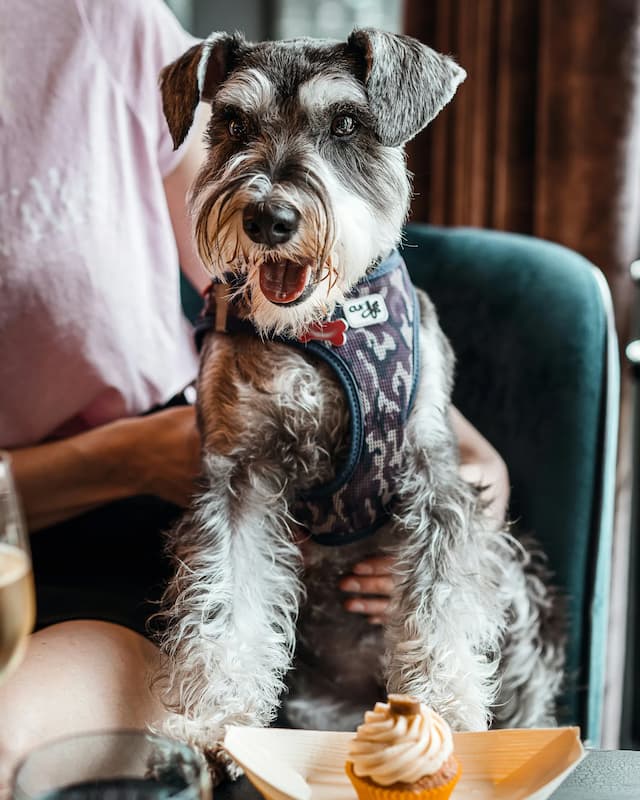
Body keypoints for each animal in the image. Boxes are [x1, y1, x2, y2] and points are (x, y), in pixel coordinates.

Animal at [154, 29, 564, 776]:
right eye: (233, 124)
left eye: (346, 124)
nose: (269, 216)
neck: (327, 326)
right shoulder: (238, 476)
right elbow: (227, 597)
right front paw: (215, 719)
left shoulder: (434, 479)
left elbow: (440, 605)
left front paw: (445, 714)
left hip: (516, 576)